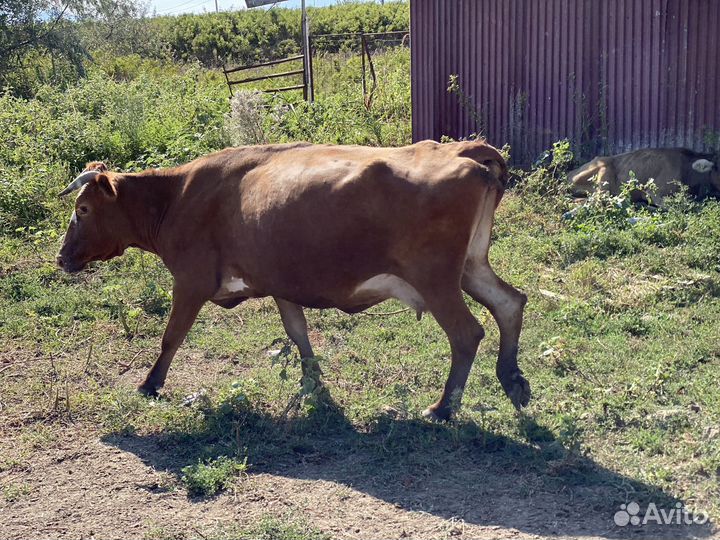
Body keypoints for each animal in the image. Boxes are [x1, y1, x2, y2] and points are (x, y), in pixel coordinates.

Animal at [56, 140, 529, 421]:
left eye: (82, 209)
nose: (61, 257)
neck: (177, 197)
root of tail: (462, 149)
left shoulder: (190, 281)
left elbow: (171, 336)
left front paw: (150, 383)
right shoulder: (280, 282)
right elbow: (297, 332)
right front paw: (312, 384)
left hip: (436, 279)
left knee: (467, 333)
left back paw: (444, 408)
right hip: (470, 267)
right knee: (510, 302)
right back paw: (512, 380)